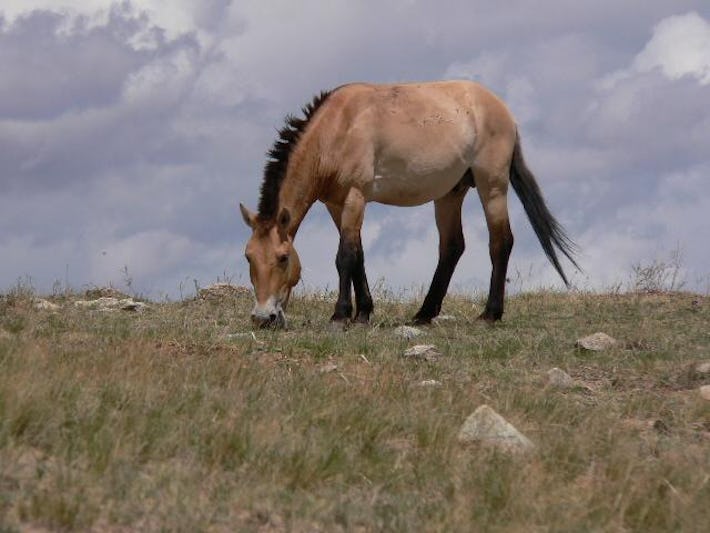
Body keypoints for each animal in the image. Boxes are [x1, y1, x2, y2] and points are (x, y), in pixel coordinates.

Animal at [240, 81, 579, 328]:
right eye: (248, 257)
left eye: (283, 257)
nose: (263, 317)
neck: (337, 129)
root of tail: (502, 109)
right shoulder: (336, 205)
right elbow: (358, 255)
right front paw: (363, 313)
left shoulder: (355, 197)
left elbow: (345, 256)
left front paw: (340, 315)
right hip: (450, 194)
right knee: (452, 247)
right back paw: (424, 314)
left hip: (492, 186)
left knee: (501, 243)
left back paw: (489, 314)